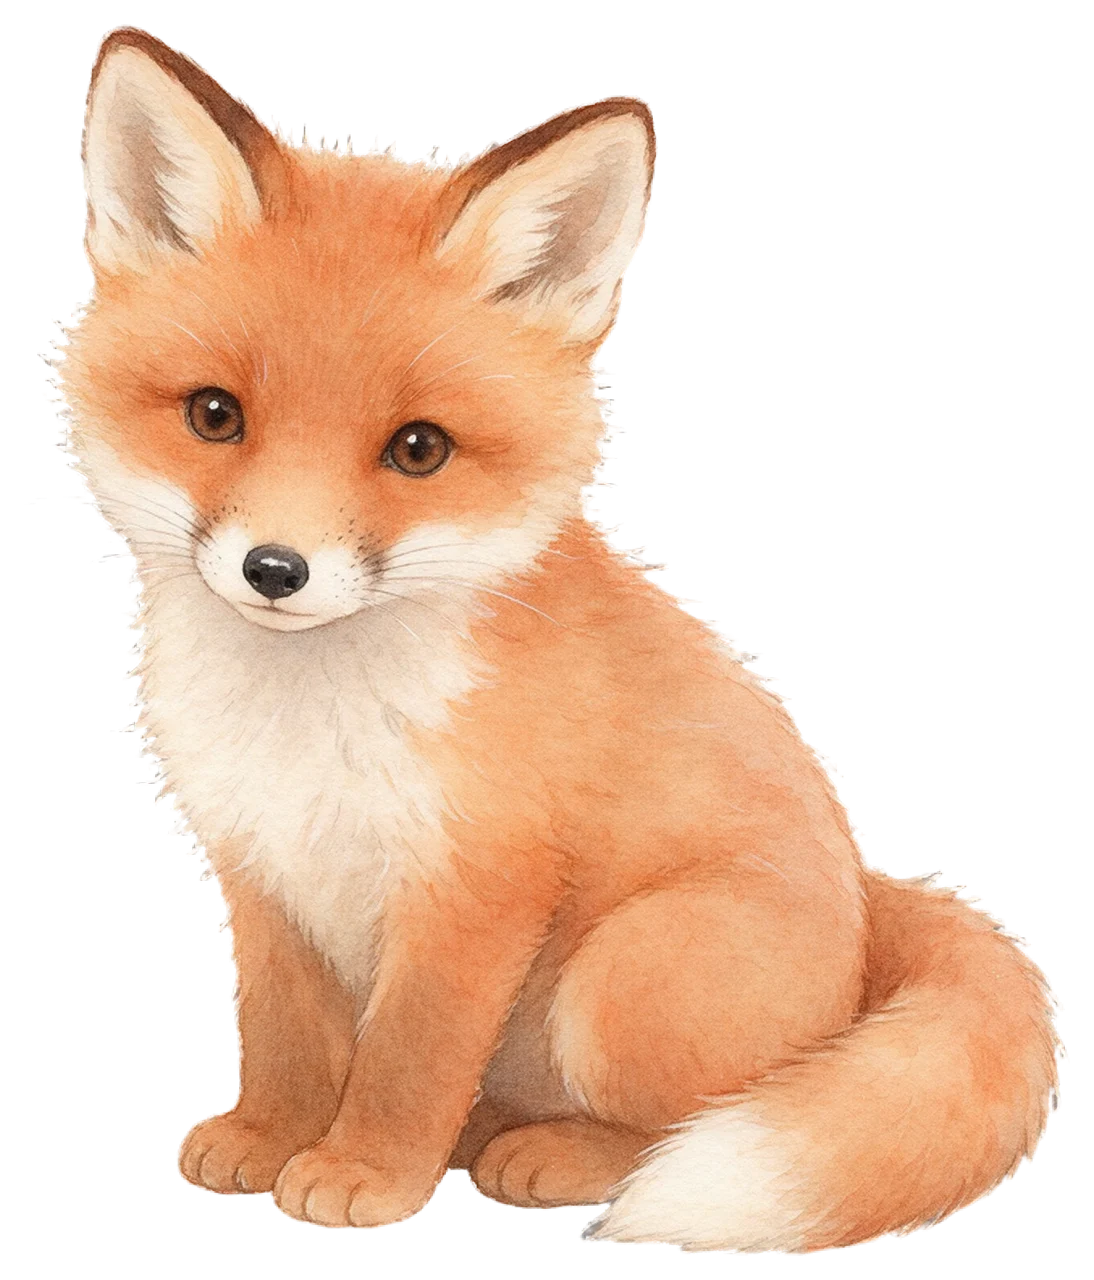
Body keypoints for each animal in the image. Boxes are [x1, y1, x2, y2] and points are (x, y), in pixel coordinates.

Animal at [53, 26, 1064, 1251]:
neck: (310, 720)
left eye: (419, 449)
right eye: (214, 416)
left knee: (692, 1117)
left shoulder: (476, 886)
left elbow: (409, 1061)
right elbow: (285, 1036)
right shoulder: (260, 860)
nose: (275, 570)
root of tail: (873, 906)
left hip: (620, 979)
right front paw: (270, 1134)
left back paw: (557, 1159)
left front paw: (366, 1172)